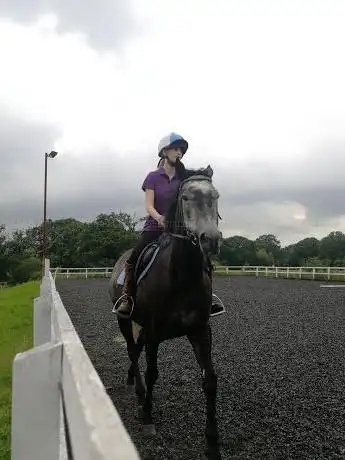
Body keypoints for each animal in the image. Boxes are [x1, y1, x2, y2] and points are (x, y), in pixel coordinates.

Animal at [109, 166, 224, 460]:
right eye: (185, 197)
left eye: (215, 196)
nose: (210, 239)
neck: (181, 277)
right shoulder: (154, 332)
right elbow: (152, 373)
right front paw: (148, 416)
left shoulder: (201, 331)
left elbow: (210, 380)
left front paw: (212, 442)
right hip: (124, 320)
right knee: (132, 351)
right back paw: (139, 393)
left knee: (135, 351)